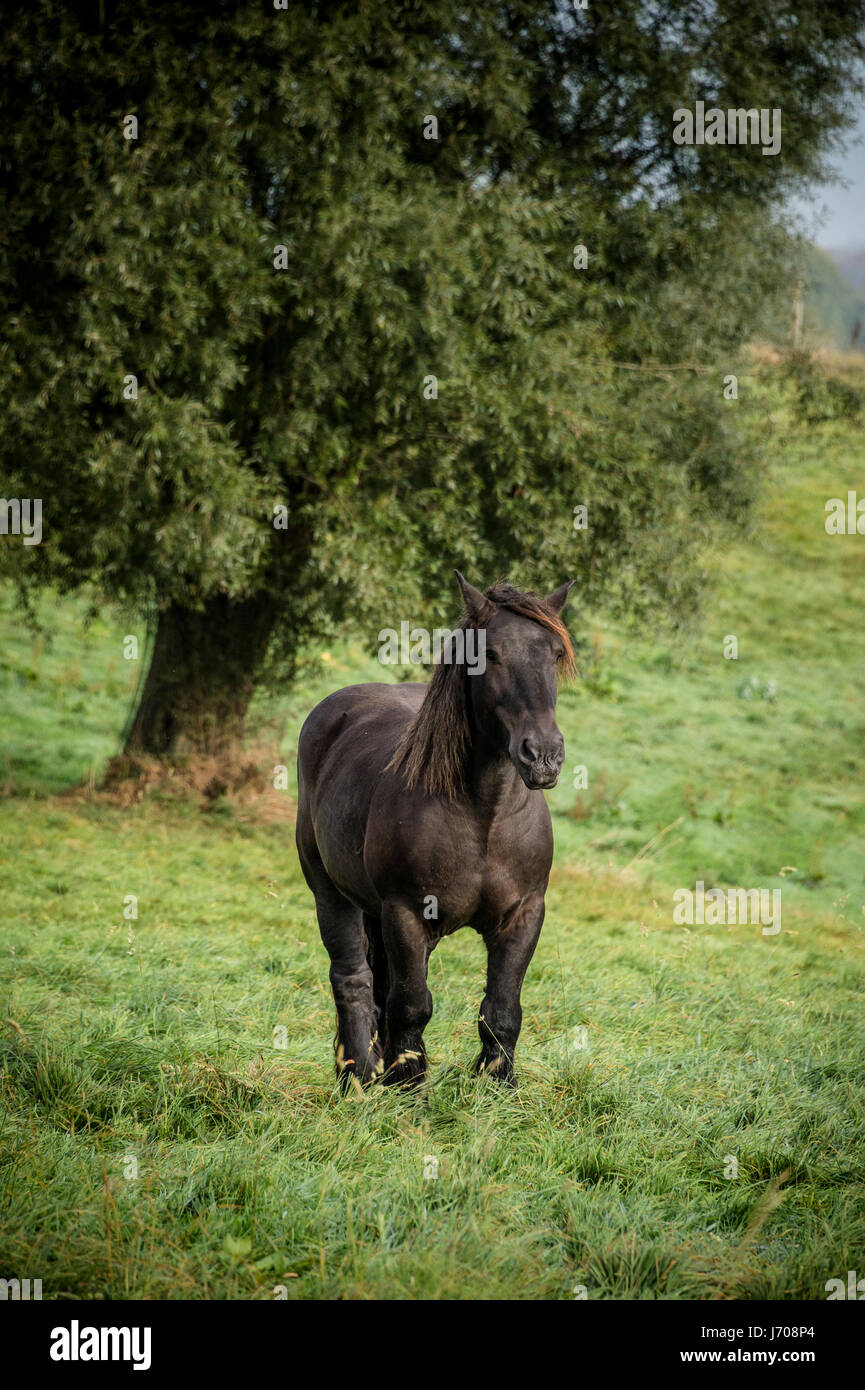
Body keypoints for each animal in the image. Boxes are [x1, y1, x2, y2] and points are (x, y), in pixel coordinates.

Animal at [297, 569, 575, 1089]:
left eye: (555, 653)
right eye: (489, 653)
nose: (543, 756)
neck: (483, 816)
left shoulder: (524, 915)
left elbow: (501, 1008)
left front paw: (497, 1087)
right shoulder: (405, 913)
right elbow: (411, 1006)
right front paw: (408, 1086)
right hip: (331, 892)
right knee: (353, 978)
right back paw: (358, 1075)